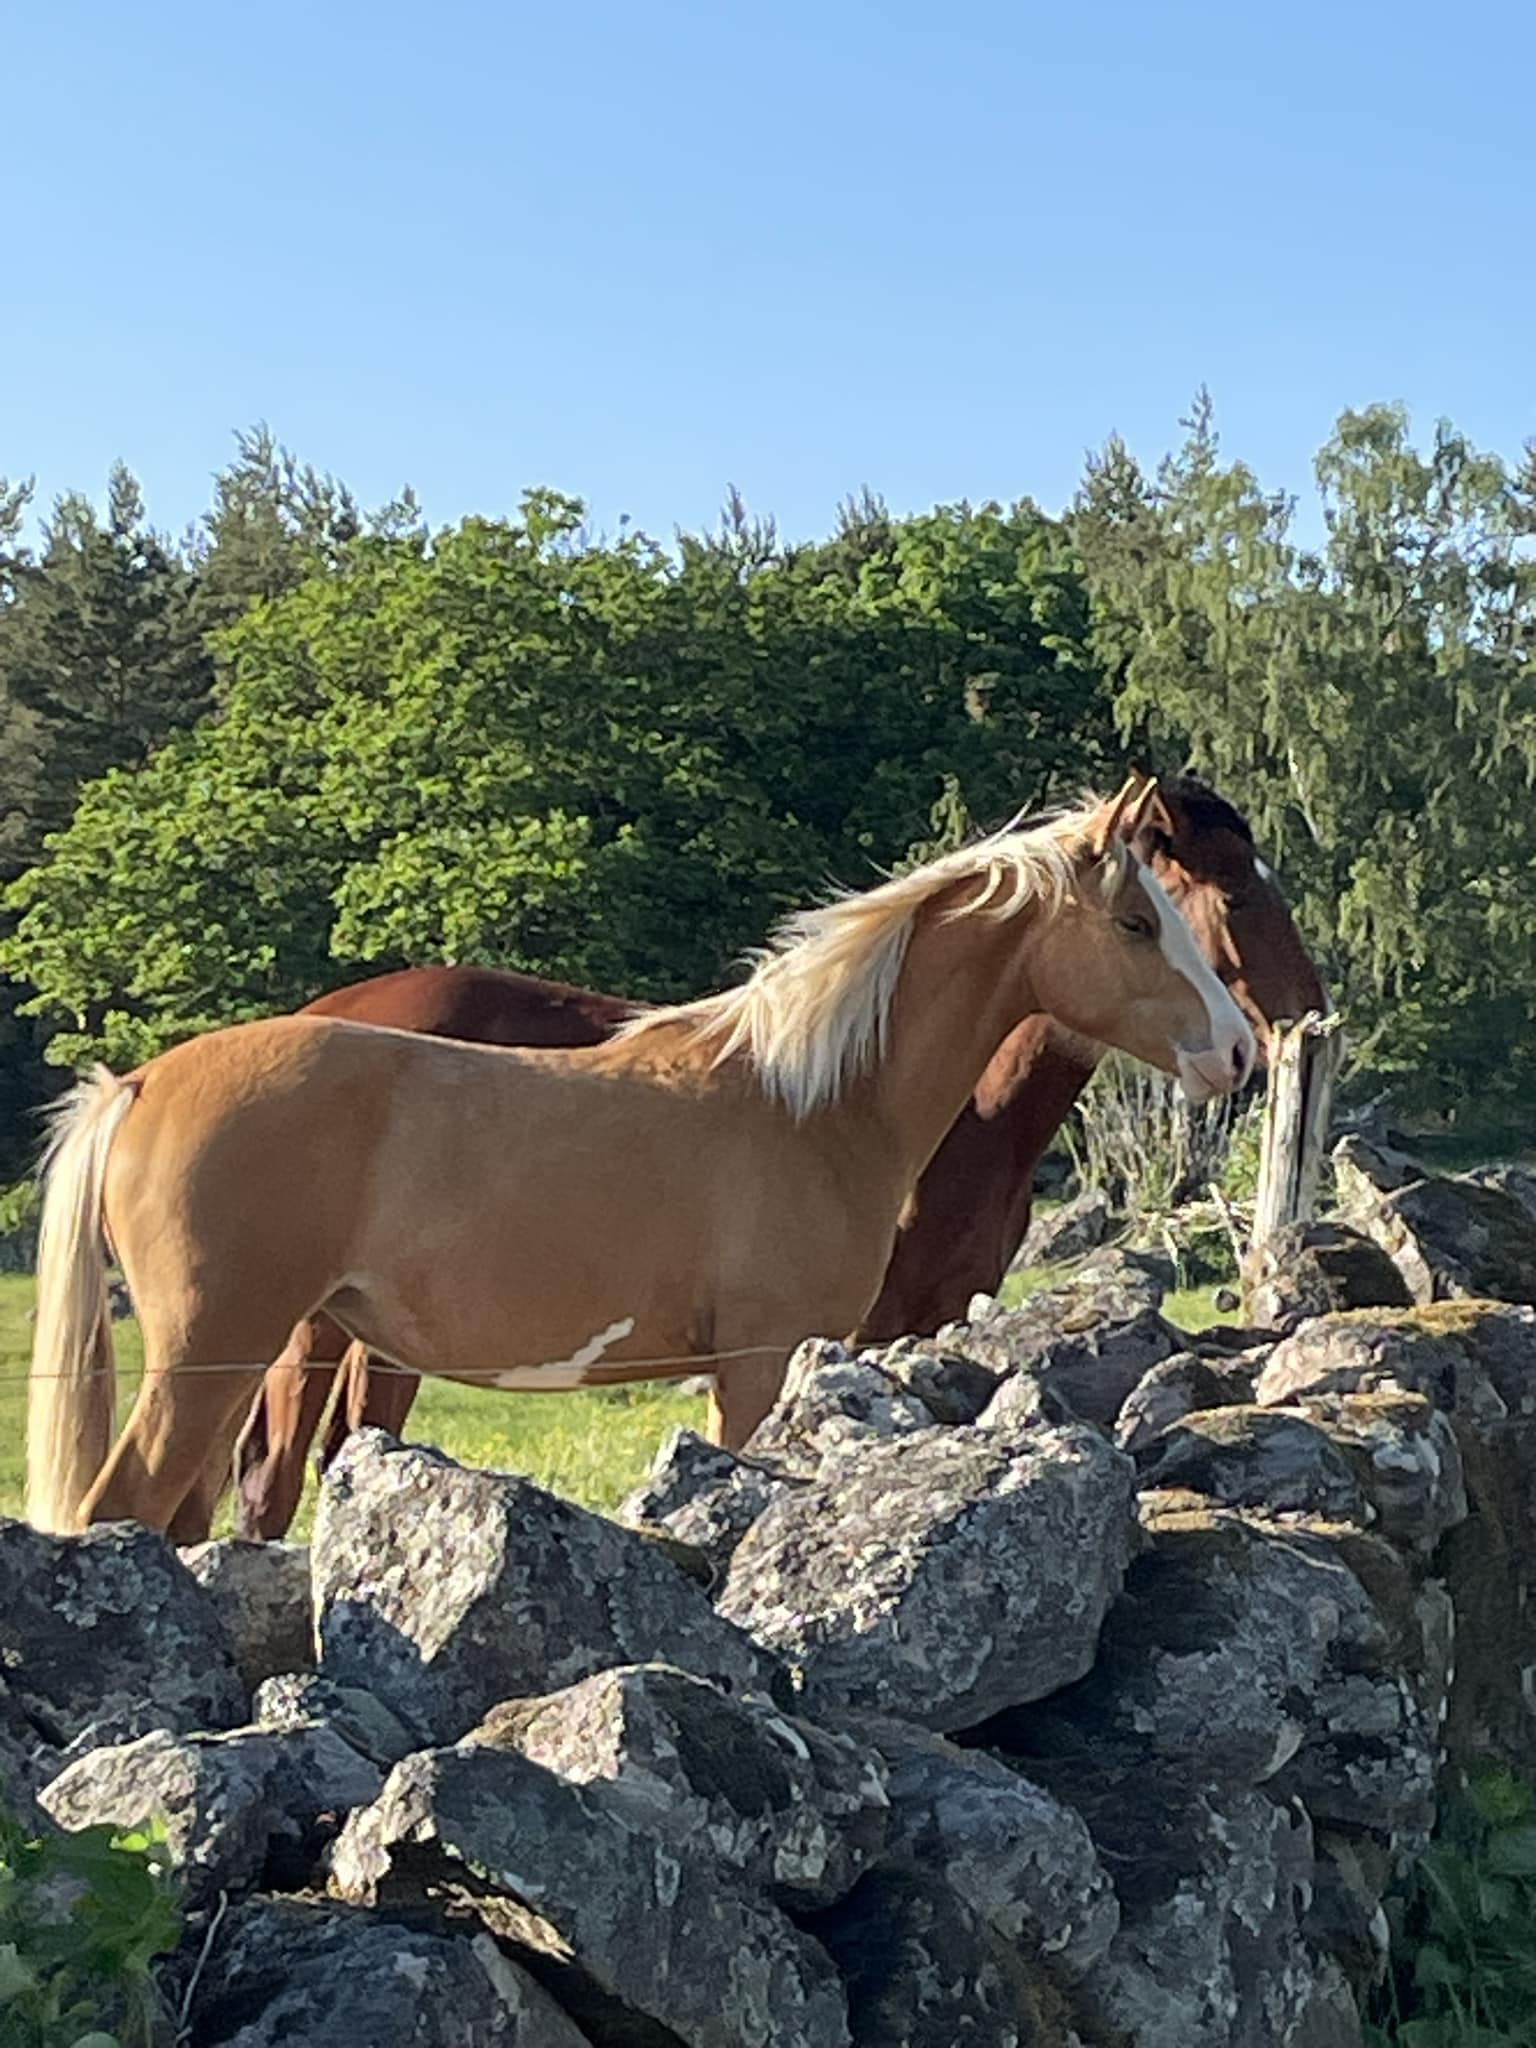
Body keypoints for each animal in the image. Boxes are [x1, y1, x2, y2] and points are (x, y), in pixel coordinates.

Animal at [25, 779, 1254, 1538]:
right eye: (1140, 922)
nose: (1238, 1049)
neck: (808, 1102)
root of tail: (139, 1083)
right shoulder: (764, 1360)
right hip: (216, 1352)